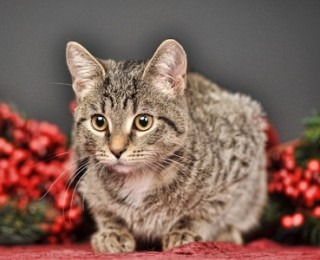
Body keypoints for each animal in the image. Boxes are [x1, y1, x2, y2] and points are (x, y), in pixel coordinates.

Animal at [65, 39, 268, 253]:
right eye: (99, 122)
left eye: (143, 122)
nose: (116, 150)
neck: (139, 178)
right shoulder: (84, 173)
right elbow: (102, 209)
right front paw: (112, 231)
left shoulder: (241, 162)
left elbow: (210, 208)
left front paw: (185, 230)